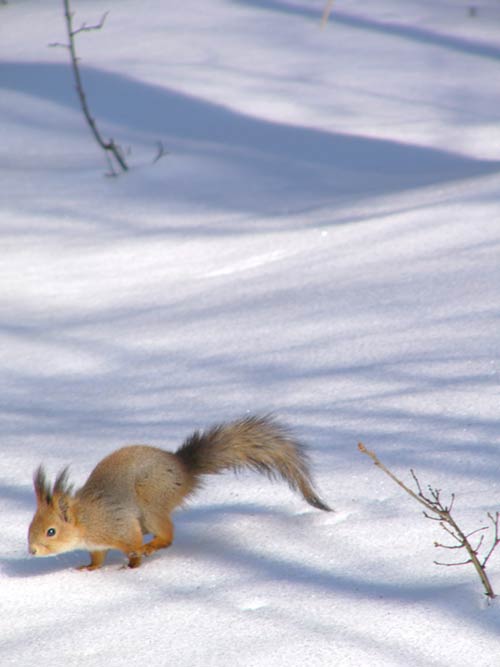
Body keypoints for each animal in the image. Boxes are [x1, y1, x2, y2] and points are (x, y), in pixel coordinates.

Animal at [28, 414, 332, 572]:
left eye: (51, 531)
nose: (31, 550)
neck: (86, 520)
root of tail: (183, 468)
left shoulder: (119, 525)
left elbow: (131, 543)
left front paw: (134, 562)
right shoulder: (97, 545)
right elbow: (98, 558)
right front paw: (88, 569)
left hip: (151, 501)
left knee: (167, 536)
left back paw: (151, 545)